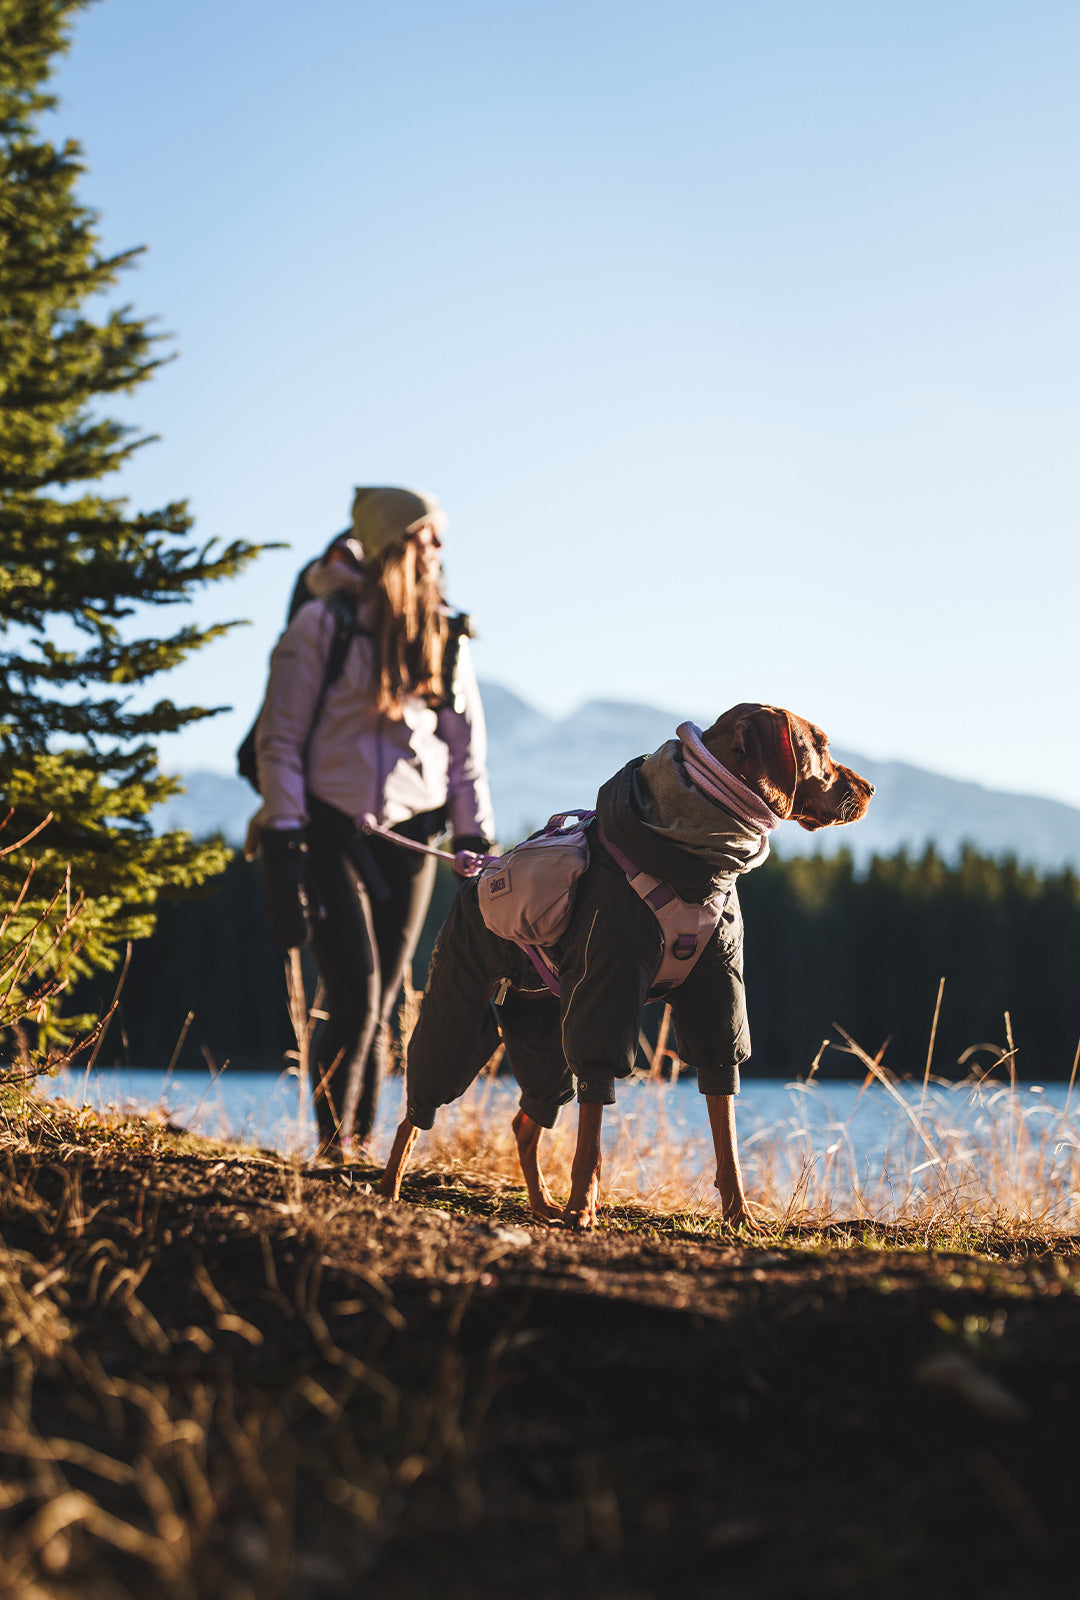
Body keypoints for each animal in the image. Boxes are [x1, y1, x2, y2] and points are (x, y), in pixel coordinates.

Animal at [376, 700, 876, 1222]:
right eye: (820, 744)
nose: (870, 789)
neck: (697, 858)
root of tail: (480, 872)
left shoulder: (717, 992)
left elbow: (726, 1129)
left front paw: (740, 1214)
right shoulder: (607, 988)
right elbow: (592, 1130)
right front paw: (582, 1208)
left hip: (543, 1029)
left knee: (526, 1119)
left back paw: (542, 1203)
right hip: (461, 1004)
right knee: (417, 1105)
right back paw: (390, 1185)